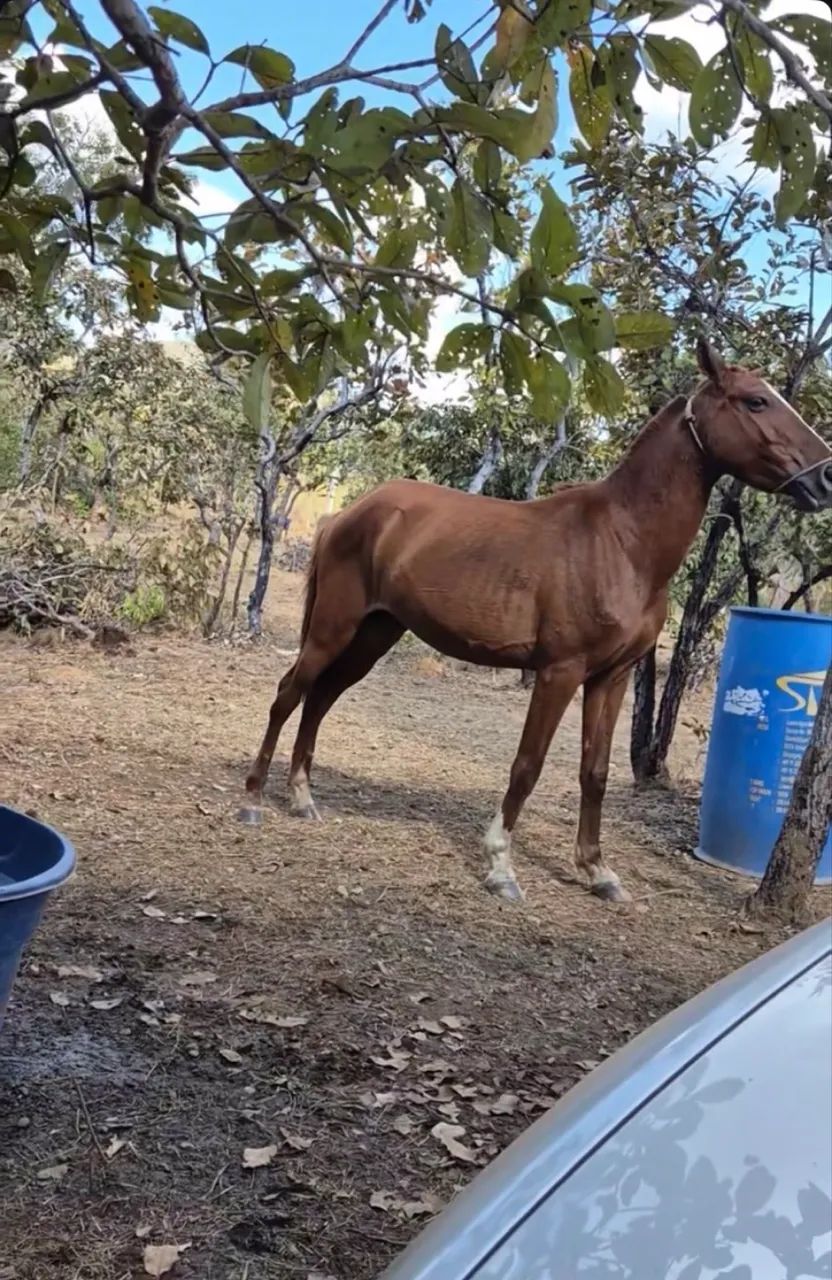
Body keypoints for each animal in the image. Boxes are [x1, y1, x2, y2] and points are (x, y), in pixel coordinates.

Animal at [239, 339, 832, 904]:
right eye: (755, 401)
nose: (825, 475)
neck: (622, 542)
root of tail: (349, 513)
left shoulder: (611, 677)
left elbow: (595, 771)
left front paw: (598, 871)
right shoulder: (559, 672)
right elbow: (528, 764)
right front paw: (501, 868)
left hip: (374, 634)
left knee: (321, 697)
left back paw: (302, 797)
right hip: (333, 628)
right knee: (289, 693)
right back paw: (253, 799)